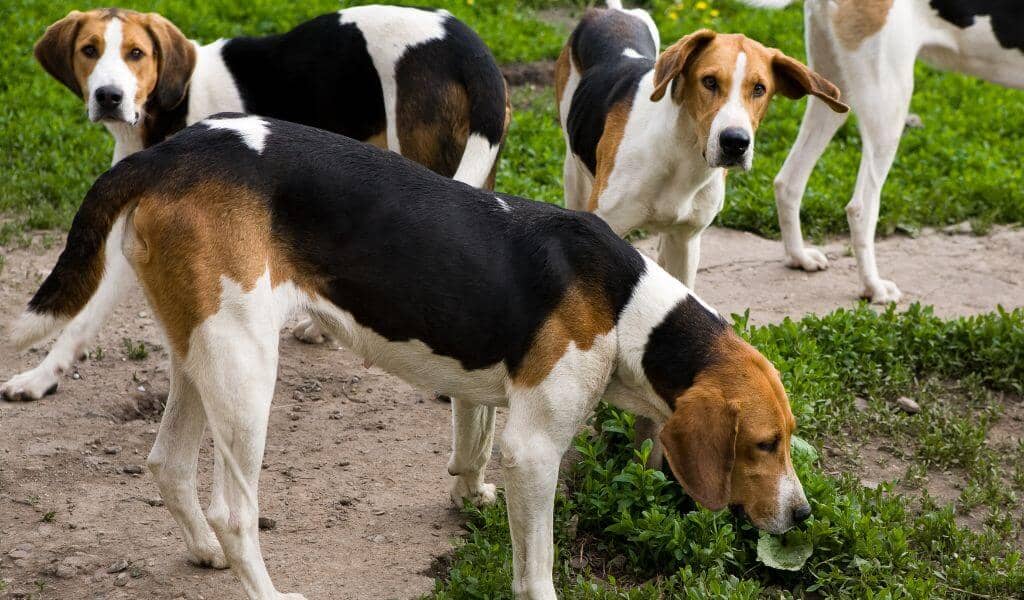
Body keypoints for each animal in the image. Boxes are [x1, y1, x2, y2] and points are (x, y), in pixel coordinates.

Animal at [1, 5, 512, 401]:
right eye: (88, 50)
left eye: (136, 54)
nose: (109, 96)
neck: (172, 104)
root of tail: (468, 44)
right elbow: (79, 320)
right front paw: (42, 377)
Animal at [8, 113, 806, 597]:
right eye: (763, 445)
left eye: (787, 440)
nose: (802, 517)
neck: (628, 307)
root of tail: (169, 151)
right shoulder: (536, 449)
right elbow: (536, 565)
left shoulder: (489, 394)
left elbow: (471, 441)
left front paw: (468, 494)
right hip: (244, 368)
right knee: (235, 509)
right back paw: (263, 584)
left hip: (201, 354)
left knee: (167, 464)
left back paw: (205, 551)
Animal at [561, 0, 847, 288]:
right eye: (709, 81)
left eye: (759, 88)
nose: (735, 142)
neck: (682, 155)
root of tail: (612, 11)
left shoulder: (686, 241)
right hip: (573, 174)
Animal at [745, 0, 1024, 301]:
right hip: (889, 105)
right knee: (860, 208)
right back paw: (874, 288)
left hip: (833, 93)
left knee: (788, 182)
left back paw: (799, 258)